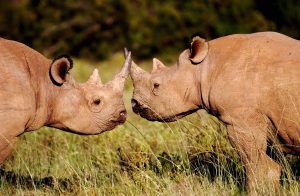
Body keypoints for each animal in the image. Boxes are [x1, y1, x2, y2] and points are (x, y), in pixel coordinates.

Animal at [130, 31, 300, 193]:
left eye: (156, 85)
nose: (134, 103)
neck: (203, 67)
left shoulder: (242, 121)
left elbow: (257, 167)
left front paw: (257, 191)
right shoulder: (269, 121)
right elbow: (270, 164)